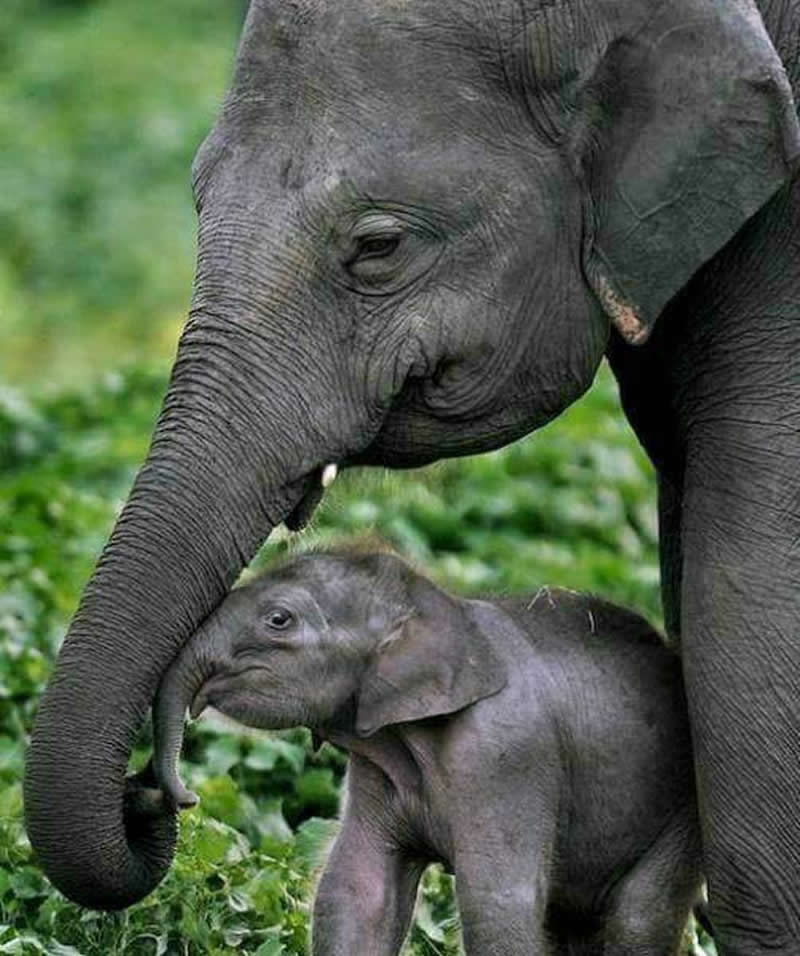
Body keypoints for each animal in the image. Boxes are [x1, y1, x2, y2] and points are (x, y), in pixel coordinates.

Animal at [151, 550, 703, 956]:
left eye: (278, 620)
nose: (188, 797)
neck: (441, 608)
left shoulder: (506, 758)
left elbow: (496, 905)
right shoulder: (376, 766)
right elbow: (358, 889)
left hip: (681, 814)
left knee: (637, 919)